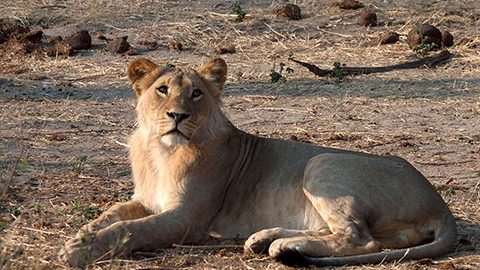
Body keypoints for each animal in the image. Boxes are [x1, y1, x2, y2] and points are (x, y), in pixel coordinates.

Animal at [61, 57, 458, 268]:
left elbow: (131, 229)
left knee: (362, 241)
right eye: (162, 90)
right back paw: (270, 240)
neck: (161, 151)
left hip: (322, 163)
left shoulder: (187, 219)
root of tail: (440, 204)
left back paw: (280, 246)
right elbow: (110, 216)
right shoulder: (145, 199)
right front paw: (78, 238)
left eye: (196, 93)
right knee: (345, 233)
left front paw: (80, 251)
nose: (177, 116)